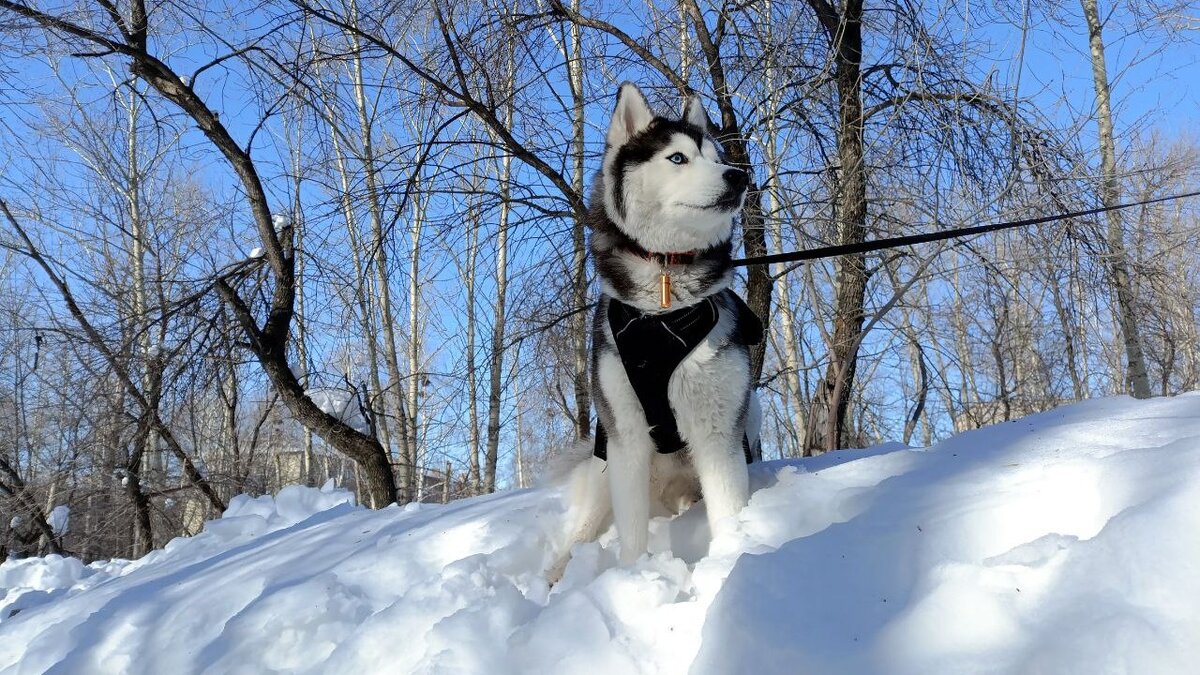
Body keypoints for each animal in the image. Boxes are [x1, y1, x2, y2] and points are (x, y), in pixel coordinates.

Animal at [552, 82, 758, 578]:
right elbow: (631, 532)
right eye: (678, 157)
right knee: (580, 532)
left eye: (717, 156)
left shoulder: (719, 431)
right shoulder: (625, 436)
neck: (665, 301)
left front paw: (733, 564)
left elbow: (729, 509)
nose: (738, 177)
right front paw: (634, 576)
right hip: (603, 467)